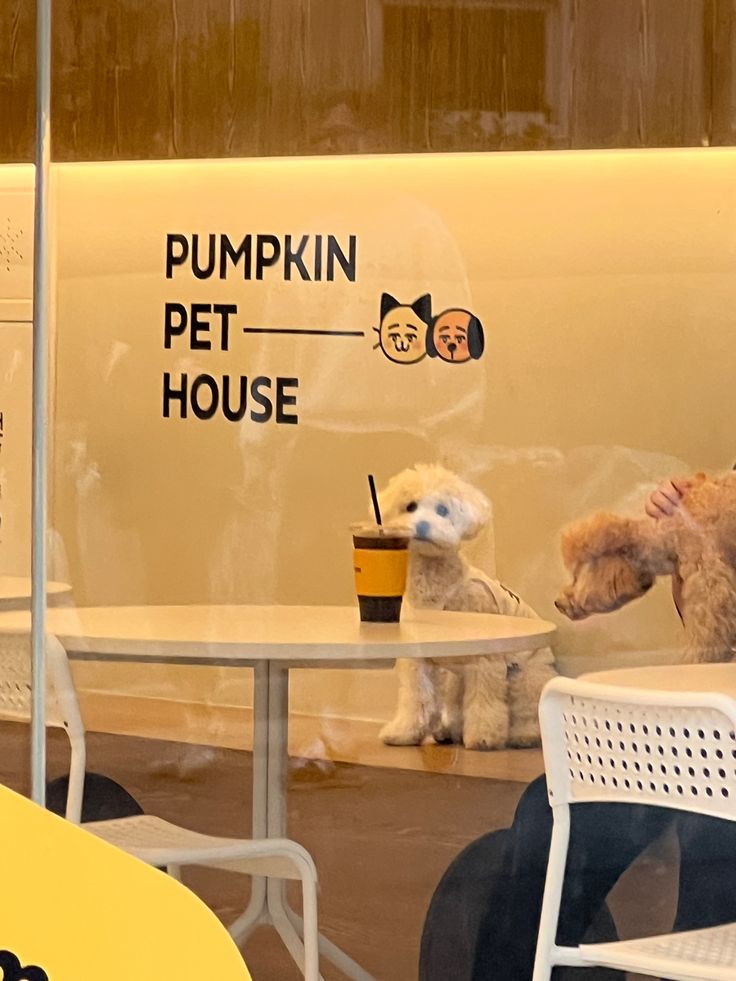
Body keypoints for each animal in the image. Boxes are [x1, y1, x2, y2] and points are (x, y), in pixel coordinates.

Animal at [376, 464, 556, 748]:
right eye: (410, 506)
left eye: (442, 510)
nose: (422, 525)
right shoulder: (417, 656)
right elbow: (416, 698)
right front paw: (404, 732)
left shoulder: (485, 657)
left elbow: (484, 701)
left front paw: (483, 737)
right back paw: (448, 731)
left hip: (525, 676)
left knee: (527, 712)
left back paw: (522, 734)